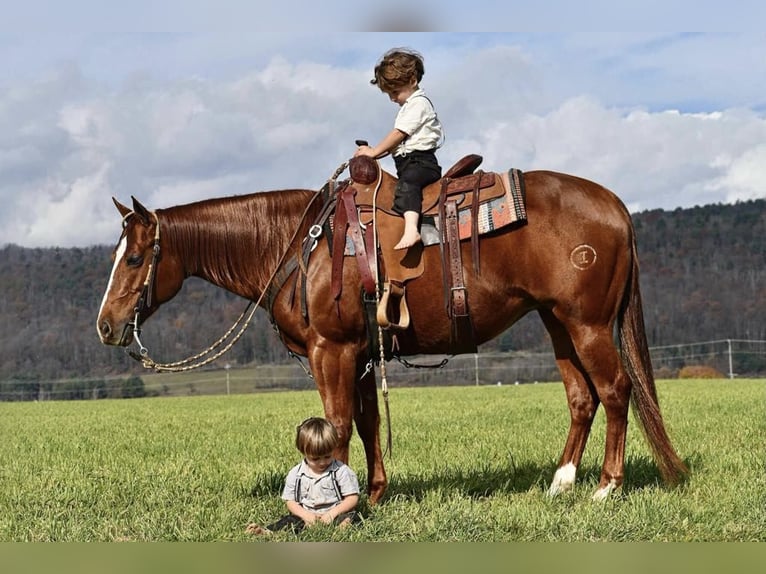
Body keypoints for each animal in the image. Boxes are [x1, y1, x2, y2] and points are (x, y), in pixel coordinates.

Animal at [96, 162, 688, 504]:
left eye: (134, 258)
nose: (105, 326)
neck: (299, 245)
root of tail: (615, 205)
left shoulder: (331, 351)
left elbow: (334, 423)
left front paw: (336, 503)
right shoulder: (360, 354)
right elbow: (366, 422)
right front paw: (375, 493)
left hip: (588, 323)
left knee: (616, 390)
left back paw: (607, 488)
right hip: (557, 322)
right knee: (581, 397)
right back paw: (561, 482)